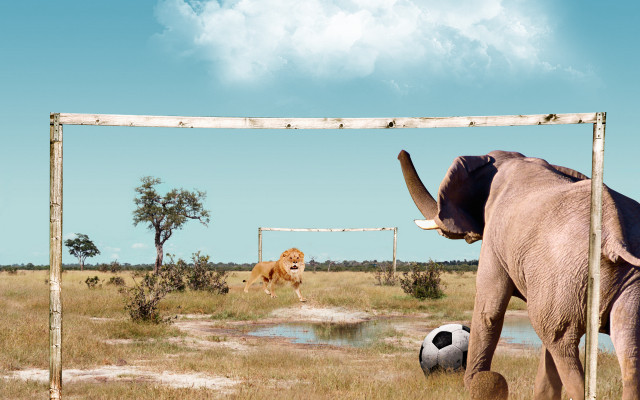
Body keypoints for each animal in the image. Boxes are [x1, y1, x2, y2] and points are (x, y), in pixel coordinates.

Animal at [397, 149, 640, 400]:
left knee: (560, 343)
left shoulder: (495, 236)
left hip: (567, 275)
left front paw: (479, 386)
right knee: (628, 349)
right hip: (625, 280)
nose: (402, 153)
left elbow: (489, 312)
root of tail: (614, 238)